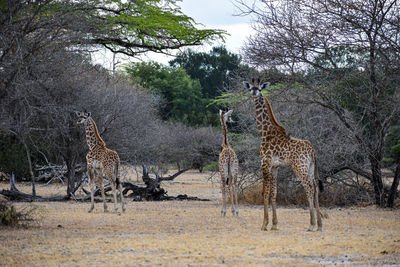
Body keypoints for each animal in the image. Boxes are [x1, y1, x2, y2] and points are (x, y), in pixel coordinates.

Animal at [242, 79, 324, 232]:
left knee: (309, 187)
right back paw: (320, 225)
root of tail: (312, 150)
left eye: (260, 89)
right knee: (315, 186)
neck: (265, 132)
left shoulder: (265, 163)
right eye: (250, 88)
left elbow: (265, 192)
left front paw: (264, 224)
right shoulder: (275, 166)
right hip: (310, 167)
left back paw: (311, 224)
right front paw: (274, 224)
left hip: (300, 167)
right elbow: (274, 192)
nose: (254, 93)